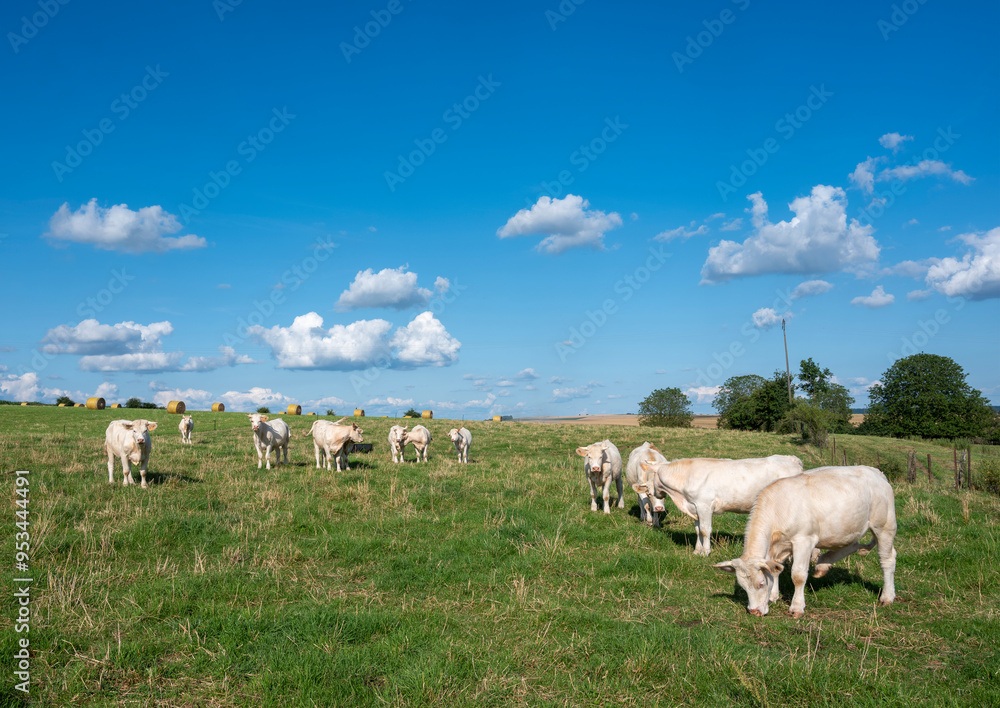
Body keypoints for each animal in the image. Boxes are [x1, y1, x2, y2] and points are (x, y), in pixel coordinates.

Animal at [634, 455, 803, 556]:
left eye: (650, 489)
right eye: (648, 492)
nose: (658, 504)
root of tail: (791, 459)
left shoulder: (704, 506)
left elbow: (705, 530)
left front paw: (706, 552)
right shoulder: (694, 507)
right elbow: (698, 530)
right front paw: (697, 551)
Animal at [714, 465, 897, 618]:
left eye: (760, 583)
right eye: (743, 587)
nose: (754, 611)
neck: (779, 508)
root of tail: (875, 471)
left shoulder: (804, 540)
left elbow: (798, 575)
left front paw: (796, 608)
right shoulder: (776, 547)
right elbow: (775, 570)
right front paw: (773, 596)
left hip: (884, 526)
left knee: (887, 559)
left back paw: (887, 597)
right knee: (852, 544)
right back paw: (823, 564)